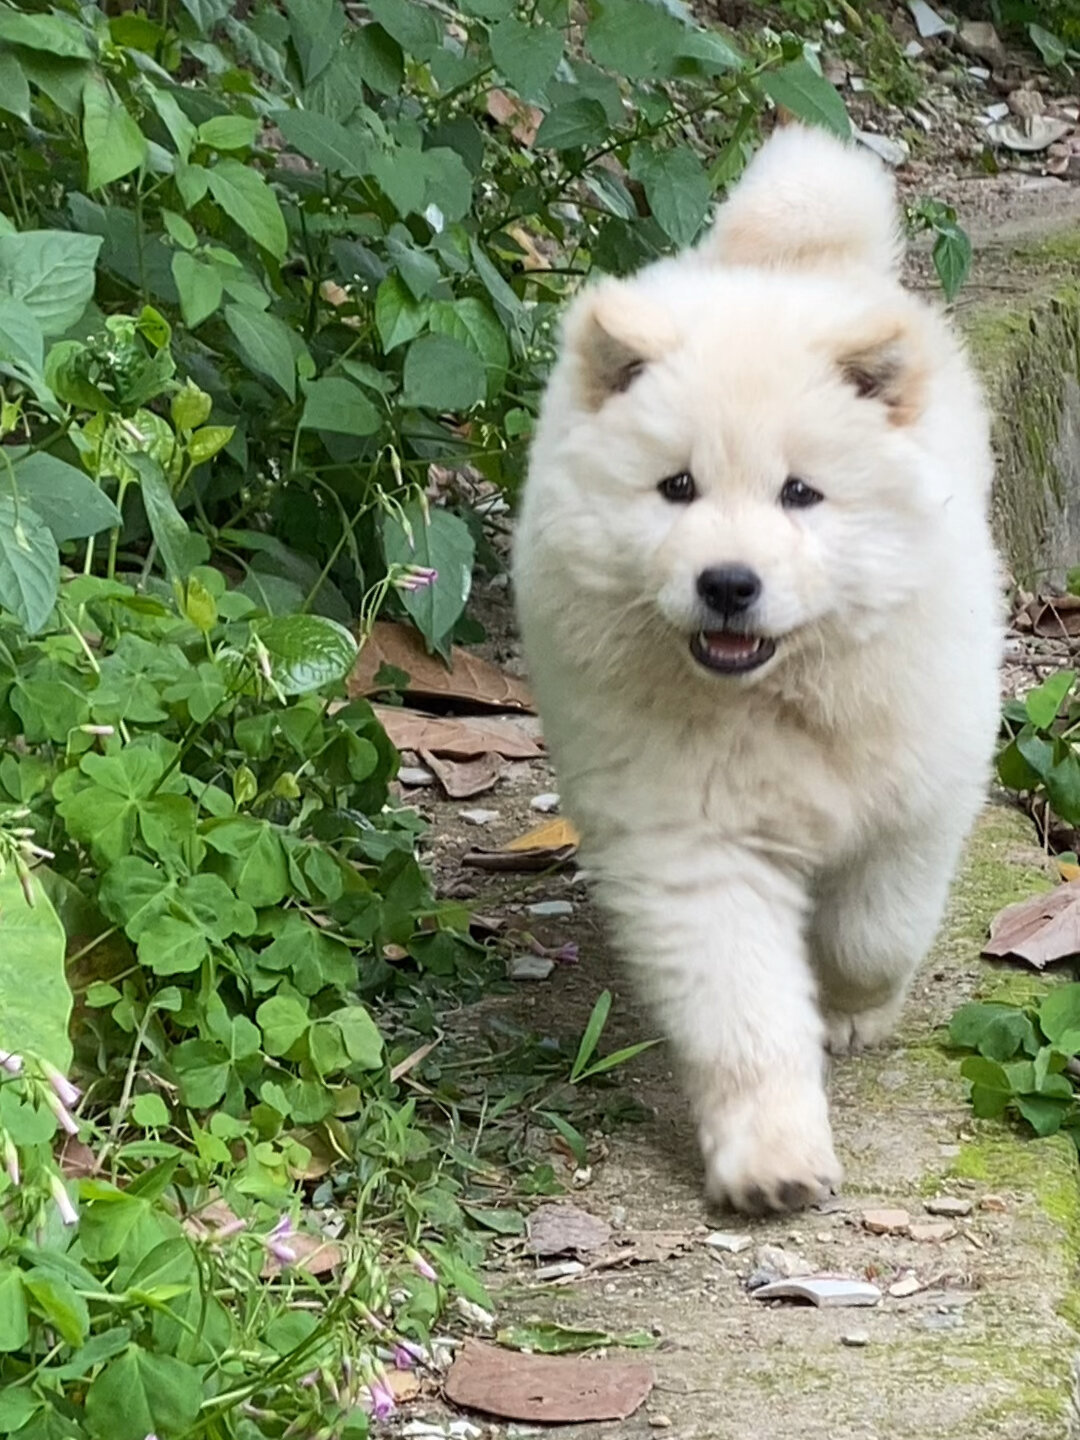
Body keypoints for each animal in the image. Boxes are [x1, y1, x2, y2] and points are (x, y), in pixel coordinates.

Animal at [515, 123, 1008, 1209]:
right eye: (677, 488)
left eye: (800, 493)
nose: (729, 584)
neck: (771, 690)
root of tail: (782, 259)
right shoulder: (690, 835)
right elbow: (740, 1000)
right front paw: (773, 1159)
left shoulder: (920, 781)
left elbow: (875, 926)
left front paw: (853, 1003)